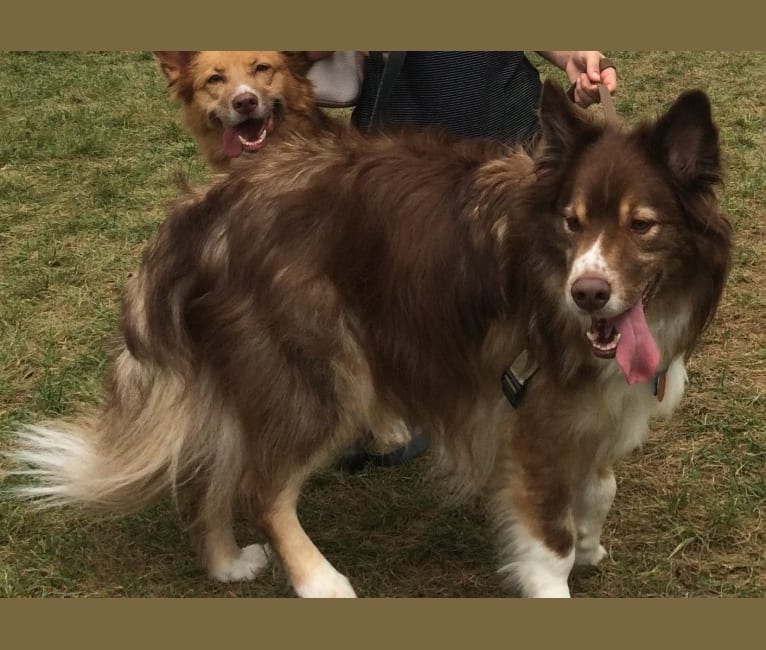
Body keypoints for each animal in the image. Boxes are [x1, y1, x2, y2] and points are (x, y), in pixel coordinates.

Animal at [9, 82, 736, 596]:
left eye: (641, 224)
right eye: (572, 221)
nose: (587, 293)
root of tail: (202, 208)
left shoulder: (596, 407)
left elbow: (600, 487)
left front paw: (590, 542)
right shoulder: (533, 418)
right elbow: (547, 541)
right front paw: (565, 563)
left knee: (208, 469)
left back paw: (225, 563)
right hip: (324, 371)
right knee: (260, 487)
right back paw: (318, 582)